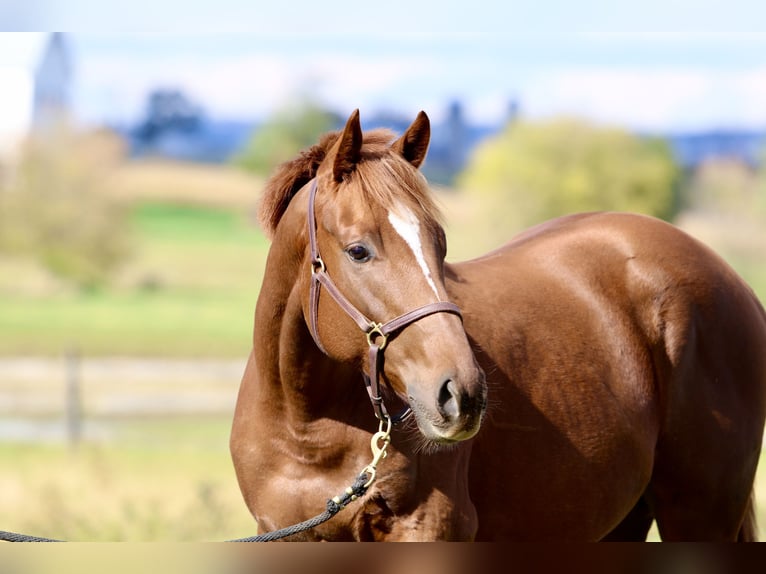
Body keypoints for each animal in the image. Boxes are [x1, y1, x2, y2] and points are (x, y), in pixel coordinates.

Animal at [232, 110, 766, 544]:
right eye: (358, 250)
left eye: (440, 243)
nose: (462, 394)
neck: (307, 425)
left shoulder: (431, 527)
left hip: (700, 513)